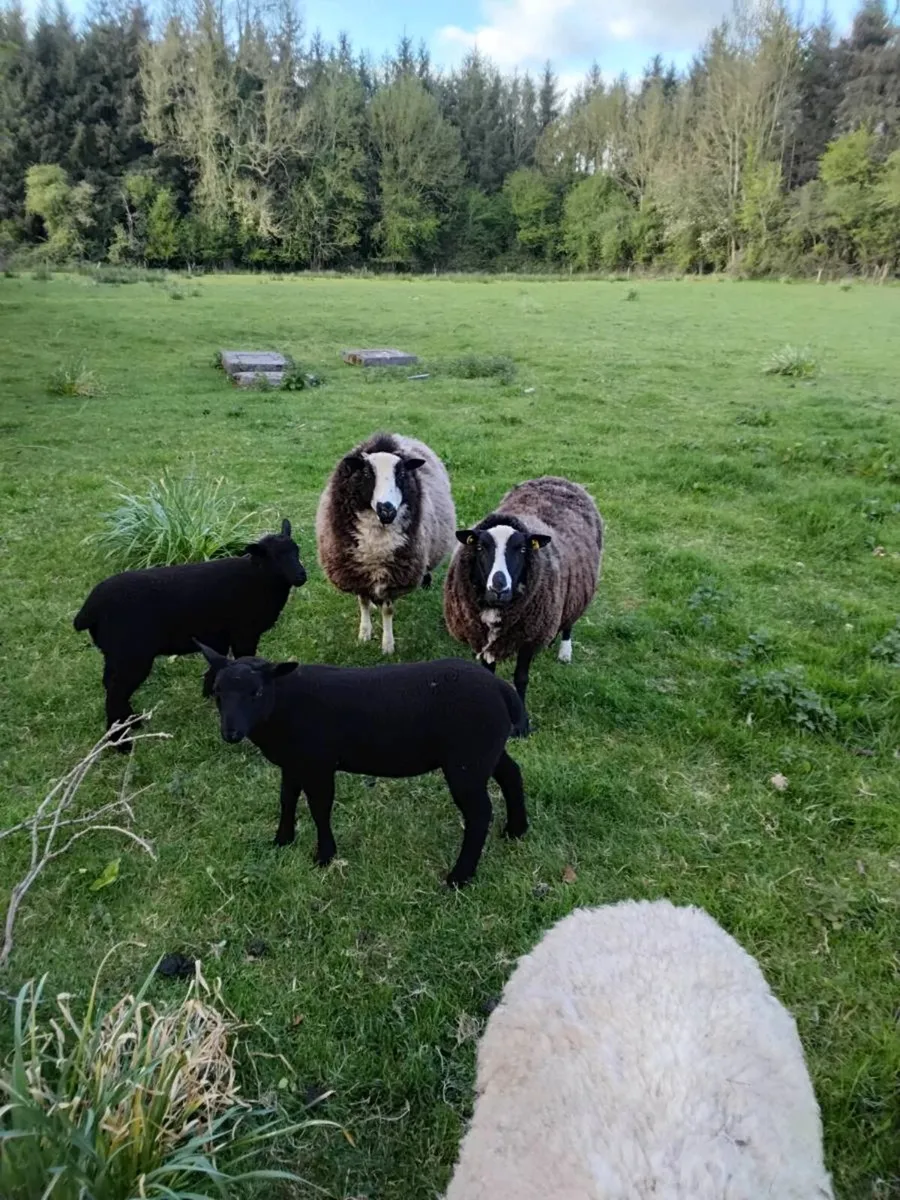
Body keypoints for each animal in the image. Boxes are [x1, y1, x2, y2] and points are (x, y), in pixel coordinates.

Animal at [73, 519, 306, 748]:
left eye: (297, 550)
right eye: (274, 556)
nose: (301, 576)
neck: (259, 578)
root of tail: (89, 610)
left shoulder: (218, 636)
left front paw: (210, 693)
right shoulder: (244, 633)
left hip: (116, 655)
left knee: (111, 687)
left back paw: (133, 722)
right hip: (131, 654)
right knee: (116, 692)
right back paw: (120, 741)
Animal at [195, 644, 528, 887]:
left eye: (257, 692)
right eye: (217, 693)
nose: (230, 734)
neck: (281, 705)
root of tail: (502, 689)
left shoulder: (318, 763)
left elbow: (319, 808)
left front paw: (325, 856)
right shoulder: (293, 763)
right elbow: (286, 799)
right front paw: (282, 840)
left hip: (466, 760)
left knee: (480, 813)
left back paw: (459, 877)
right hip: (485, 751)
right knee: (512, 774)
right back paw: (516, 830)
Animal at [315, 432, 456, 654]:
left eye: (401, 474)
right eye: (367, 474)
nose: (387, 509)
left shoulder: (395, 576)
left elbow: (388, 610)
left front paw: (388, 645)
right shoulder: (357, 572)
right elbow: (363, 602)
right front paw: (364, 634)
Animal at [443, 476, 603, 733]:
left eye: (522, 549)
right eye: (480, 547)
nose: (499, 586)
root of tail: (557, 478)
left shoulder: (529, 638)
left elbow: (521, 678)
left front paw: (521, 724)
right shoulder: (481, 637)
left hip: (575, 593)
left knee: (569, 622)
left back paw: (564, 651)